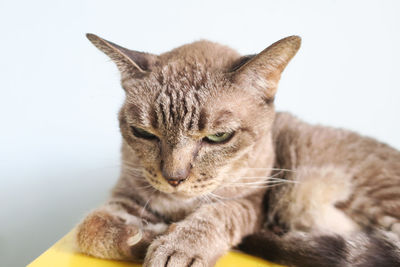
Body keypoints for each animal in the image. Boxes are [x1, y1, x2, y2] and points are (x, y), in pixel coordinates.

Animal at [76, 34, 400, 267]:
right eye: (144, 133)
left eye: (218, 137)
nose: (174, 178)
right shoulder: (126, 193)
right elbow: (89, 229)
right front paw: (139, 237)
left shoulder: (252, 201)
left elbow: (215, 215)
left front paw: (176, 245)